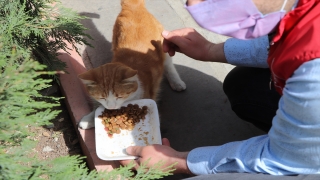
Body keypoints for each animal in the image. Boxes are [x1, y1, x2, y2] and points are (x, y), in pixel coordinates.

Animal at [78, 0, 186, 129]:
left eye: (119, 96)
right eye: (102, 97)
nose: (111, 107)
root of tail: (134, 5)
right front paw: (89, 119)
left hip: (163, 47)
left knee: (169, 65)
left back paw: (177, 82)